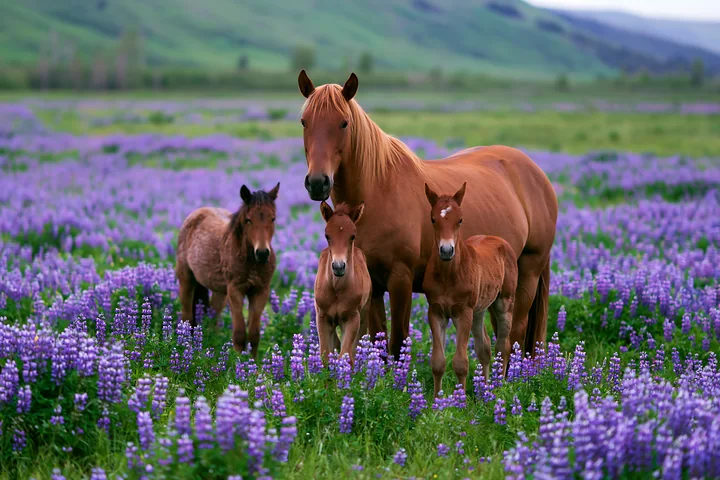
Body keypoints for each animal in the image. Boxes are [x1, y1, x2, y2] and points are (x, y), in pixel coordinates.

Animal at [175, 183, 279, 359]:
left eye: (273, 218)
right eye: (248, 220)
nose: (262, 253)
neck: (250, 261)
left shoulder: (260, 291)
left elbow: (254, 335)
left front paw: (253, 363)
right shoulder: (235, 291)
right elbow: (239, 334)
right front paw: (237, 362)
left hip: (220, 292)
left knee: (213, 318)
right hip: (186, 279)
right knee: (187, 317)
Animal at [314, 201, 371, 365]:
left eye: (353, 236)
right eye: (327, 235)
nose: (338, 266)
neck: (337, 288)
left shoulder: (353, 318)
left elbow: (346, 355)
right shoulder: (322, 317)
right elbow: (325, 355)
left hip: (364, 314)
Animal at [422, 182, 518, 397]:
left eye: (460, 219)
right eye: (433, 219)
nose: (446, 251)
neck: (449, 275)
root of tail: (499, 240)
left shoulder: (463, 312)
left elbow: (461, 362)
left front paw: (461, 401)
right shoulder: (436, 311)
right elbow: (438, 362)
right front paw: (436, 401)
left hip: (504, 303)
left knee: (503, 346)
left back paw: (498, 387)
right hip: (479, 310)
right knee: (485, 348)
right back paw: (485, 388)